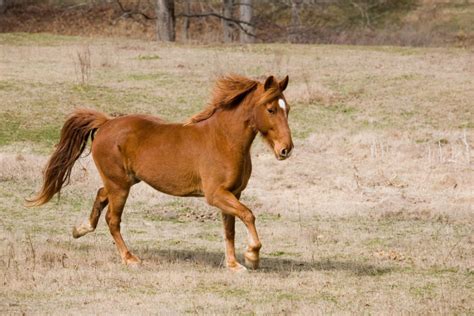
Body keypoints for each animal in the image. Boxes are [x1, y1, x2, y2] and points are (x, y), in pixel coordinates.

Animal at [29, 74, 292, 272]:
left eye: (287, 108)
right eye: (270, 109)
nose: (286, 149)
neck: (224, 140)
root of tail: (105, 124)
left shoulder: (233, 193)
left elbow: (230, 229)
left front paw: (234, 265)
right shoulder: (216, 195)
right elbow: (248, 215)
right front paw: (252, 257)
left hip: (123, 181)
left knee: (101, 195)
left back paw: (80, 229)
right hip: (120, 186)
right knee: (112, 219)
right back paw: (130, 259)